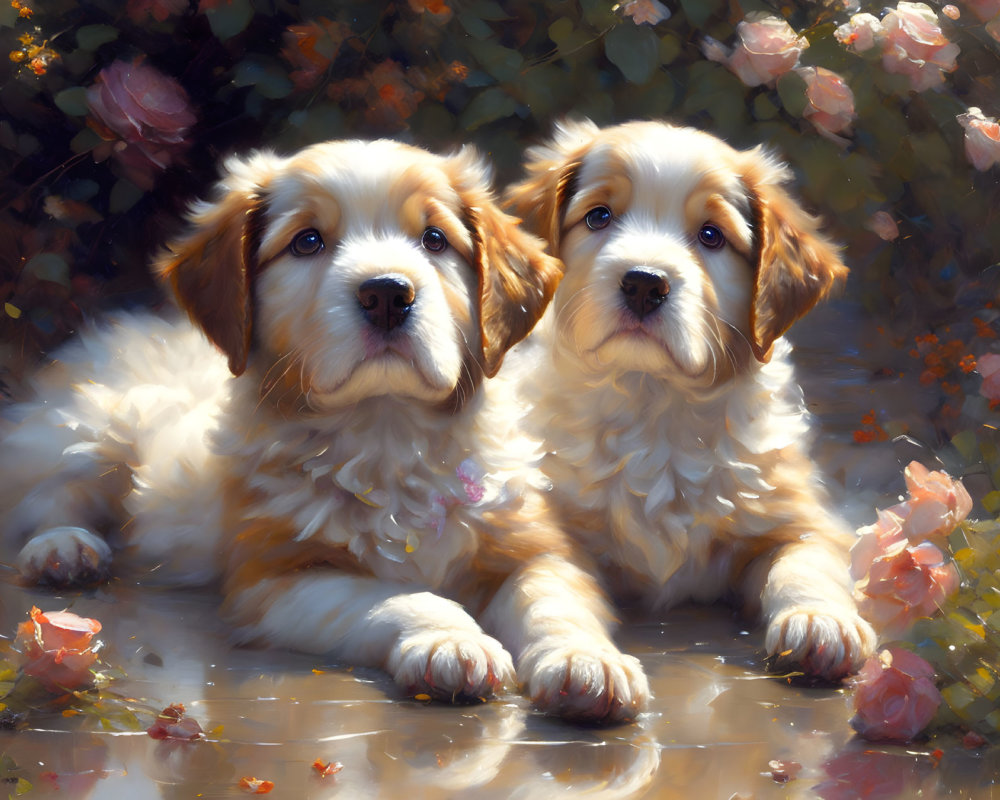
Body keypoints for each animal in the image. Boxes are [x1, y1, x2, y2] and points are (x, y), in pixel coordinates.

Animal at [1, 139, 648, 724]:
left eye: (435, 240)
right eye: (307, 242)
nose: (387, 293)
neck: (387, 429)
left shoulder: (537, 547)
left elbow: (554, 601)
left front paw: (586, 662)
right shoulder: (277, 580)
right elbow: (389, 596)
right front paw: (450, 640)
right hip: (104, 419)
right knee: (49, 493)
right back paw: (64, 549)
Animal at [508, 119, 876, 680]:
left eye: (711, 236)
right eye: (599, 216)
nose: (643, 284)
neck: (653, 399)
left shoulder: (799, 517)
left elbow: (807, 561)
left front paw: (820, 621)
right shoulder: (547, 531)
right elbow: (550, 591)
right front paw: (581, 659)